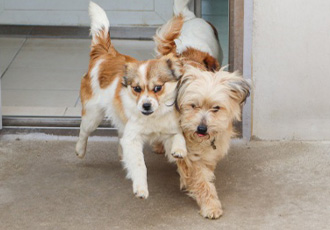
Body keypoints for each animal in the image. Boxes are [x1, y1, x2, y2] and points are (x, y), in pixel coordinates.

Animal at [75, 1, 187, 199]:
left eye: (158, 88)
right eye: (137, 89)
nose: (146, 105)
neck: (153, 117)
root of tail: (105, 53)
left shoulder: (171, 127)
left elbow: (178, 137)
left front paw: (179, 150)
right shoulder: (133, 138)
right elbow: (139, 165)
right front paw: (141, 187)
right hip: (93, 116)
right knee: (83, 131)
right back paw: (80, 150)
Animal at [175, 65, 250, 218]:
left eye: (216, 108)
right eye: (193, 105)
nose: (202, 129)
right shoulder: (191, 157)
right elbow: (201, 181)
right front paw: (210, 206)